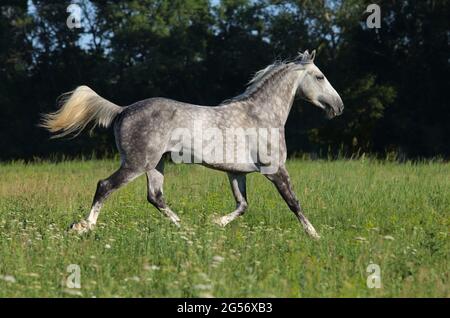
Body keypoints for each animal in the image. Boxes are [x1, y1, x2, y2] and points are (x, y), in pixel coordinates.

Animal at [42, 49, 344, 238]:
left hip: (156, 165)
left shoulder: (236, 173)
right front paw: (315, 235)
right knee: (105, 186)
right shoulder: (275, 170)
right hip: (136, 164)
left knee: (155, 196)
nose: (338, 106)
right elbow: (294, 202)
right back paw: (84, 226)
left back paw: (185, 229)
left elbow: (242, 205)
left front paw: (216, 223)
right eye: (320, 76)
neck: (261, 115)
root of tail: (122, 110)